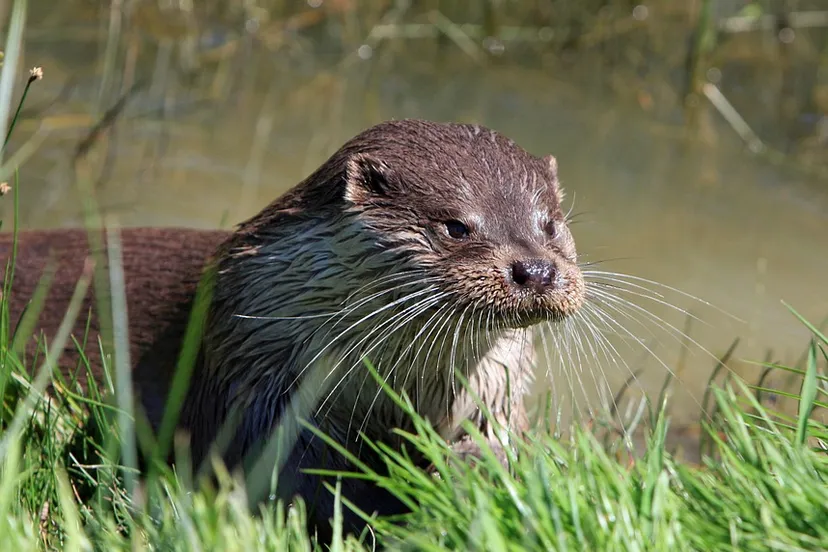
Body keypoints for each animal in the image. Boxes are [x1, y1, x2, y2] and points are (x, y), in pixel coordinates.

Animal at [0, 119, 584, 536]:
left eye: (550, 224)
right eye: (456, 226)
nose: (537, 270)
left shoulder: (494, 387)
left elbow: (506, 446)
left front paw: (474, 473)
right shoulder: (254, 379)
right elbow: (293, 477)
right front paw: (396, 503)